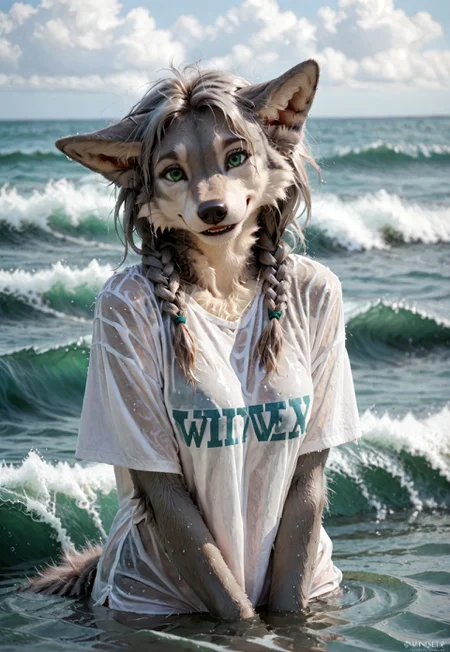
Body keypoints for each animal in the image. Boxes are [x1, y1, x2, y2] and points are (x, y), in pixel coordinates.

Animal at [26, 60, 334, 619]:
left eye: (235, 157)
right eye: (173, 172)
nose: (212, 210)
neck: (221, 278)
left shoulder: (326, 293)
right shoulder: (114, 312)